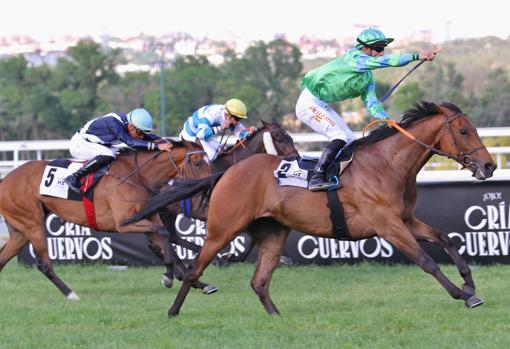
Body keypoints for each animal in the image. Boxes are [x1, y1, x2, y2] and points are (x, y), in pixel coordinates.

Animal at [0, 139, 211, 300]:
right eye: (197, 163)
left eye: (209, 162)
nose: (210, 186)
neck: (137, 175)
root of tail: (5, 179)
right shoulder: (123, 223)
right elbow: (164, 236)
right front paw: (169, 275)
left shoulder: (149, 217)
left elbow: (166, 241)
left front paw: (198, 282)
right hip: (32, 223)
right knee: (44, 264)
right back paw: (71, 295)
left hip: (20, 230)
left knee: (3, 257)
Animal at [132, 101, 498, 316]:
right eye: (463, 130)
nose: (489, 165)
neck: (388, 164)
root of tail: (227, 172)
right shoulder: (388, 225)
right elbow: (426, 261)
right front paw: (463, 294)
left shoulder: (406, 219)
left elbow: (445, 238)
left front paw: (470, 284)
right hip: (222, 229)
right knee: (195, 267)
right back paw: (174, 310)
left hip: (273, 233)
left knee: (259, 281)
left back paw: (277, 318)